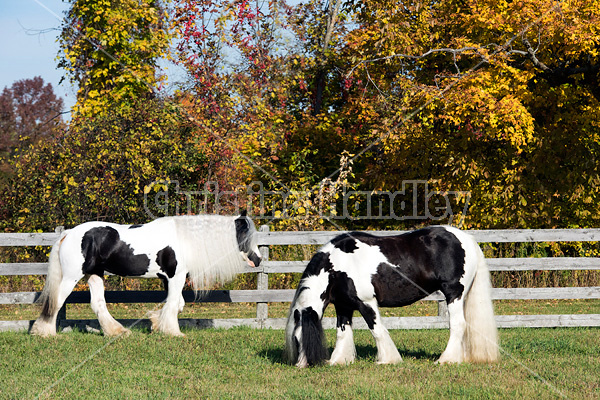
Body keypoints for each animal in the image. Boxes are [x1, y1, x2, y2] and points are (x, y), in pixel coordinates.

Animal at [29, 214, 260, 336]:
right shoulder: (175, 277)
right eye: (247, 237)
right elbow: (174, 304)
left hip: (95, 275)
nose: (258, 260)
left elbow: (177, 304)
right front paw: (173, 332)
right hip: (71, 277)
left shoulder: (168, 279)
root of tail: (68, 233)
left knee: (98, 304)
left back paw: (117, 331)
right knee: (56, 301)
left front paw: (157, 323)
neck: (185, 240)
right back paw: (45, 332)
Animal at [284, 225, 500, 366]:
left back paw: (446, 359)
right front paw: (338, 360)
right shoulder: (343, 306)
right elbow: (343, 333)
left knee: (458, 325)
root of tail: (466, 239)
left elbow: (377, 330)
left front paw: (388, 360)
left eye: (300, 340)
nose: (301, 366)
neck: (337, 267)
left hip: (454, 293)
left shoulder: (367, 303)